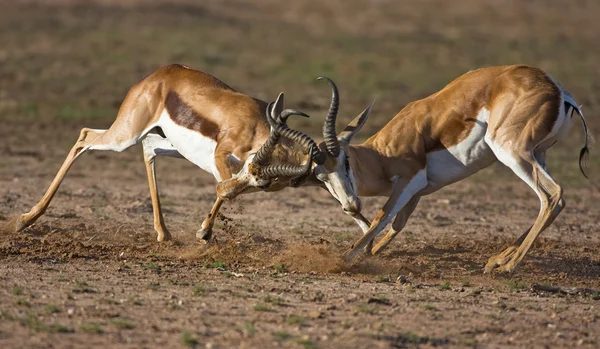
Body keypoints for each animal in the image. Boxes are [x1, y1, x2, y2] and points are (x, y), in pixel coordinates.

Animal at [14, 64, 314, 241]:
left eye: (263, 183)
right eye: (253, 171)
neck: (254, 124)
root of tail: (162, 73)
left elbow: (225, 188)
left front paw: (204, 232)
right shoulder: (222, 154)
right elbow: (223, 186)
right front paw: (204, 232)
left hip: (159, 139)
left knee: (147, 151)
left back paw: (164, 233)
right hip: (125, 135)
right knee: (85, 135)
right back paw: (25, 220)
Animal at [276, 65, 592, 272]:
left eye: (344, 160)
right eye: (321, 176)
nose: (351, 206)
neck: (383, 155)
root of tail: (558, 91)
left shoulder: (410, 180)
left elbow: (381, 217)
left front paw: (343, 260)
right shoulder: (418, 192)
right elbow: (396, 226)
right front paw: (370, 253)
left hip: (511, 152)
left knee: (552, 195)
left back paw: (507, 266)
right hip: (538, 153)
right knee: (555, 201)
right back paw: (497, 260)